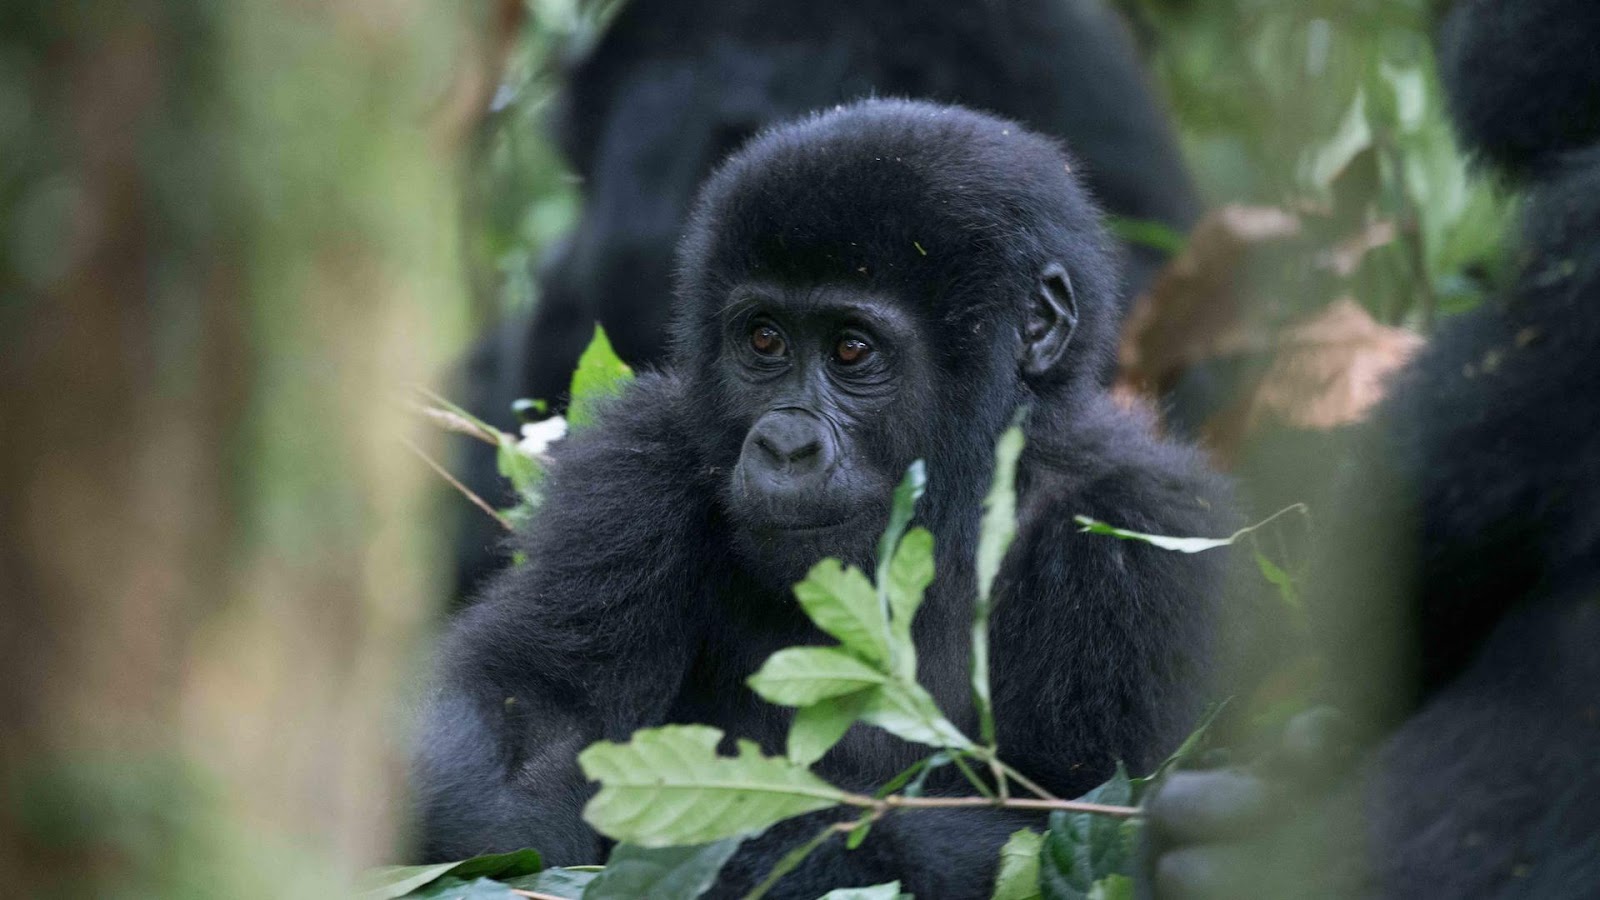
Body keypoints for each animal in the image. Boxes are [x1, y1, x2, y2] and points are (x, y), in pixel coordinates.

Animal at [412, 99, 1222, 896]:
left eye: (851, 350)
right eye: (764, 340)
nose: (783, 446)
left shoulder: (1144, 529)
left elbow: (1075, 817)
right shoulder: (633, 471)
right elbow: (526, 759)